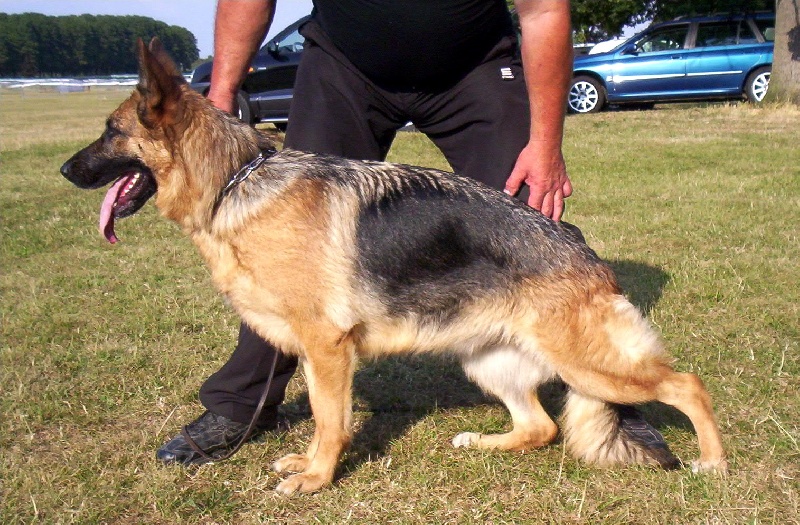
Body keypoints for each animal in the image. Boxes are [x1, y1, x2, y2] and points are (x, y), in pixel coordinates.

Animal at [61, 39, 727, 495]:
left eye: (110, 132)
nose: (65, 170)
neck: (234, 183)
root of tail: (585, 254)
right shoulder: (313, 352)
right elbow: (322, 417)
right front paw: (310, 465)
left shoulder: (327, 348)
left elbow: (330, 420)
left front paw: (318, 478)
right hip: (490, 361)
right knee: (542, 427)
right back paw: (483, 441)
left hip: (591, 363)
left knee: (687, 385)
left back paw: (714, 462)